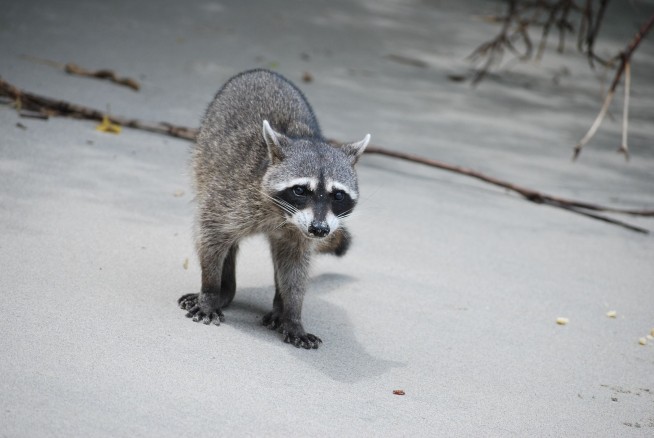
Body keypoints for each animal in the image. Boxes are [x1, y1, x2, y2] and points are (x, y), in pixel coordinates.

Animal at [178, 69, 369, 349]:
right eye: (300, 190)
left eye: (337, 195)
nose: (320, 229)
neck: (285, 217)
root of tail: (263, 72)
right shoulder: (231, 196)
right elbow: (211, 234)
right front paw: (210, 291)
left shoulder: (301, 234)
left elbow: (295, 267)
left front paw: (293, 314)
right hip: (202, 162)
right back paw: (225, 290)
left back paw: (279, 307)